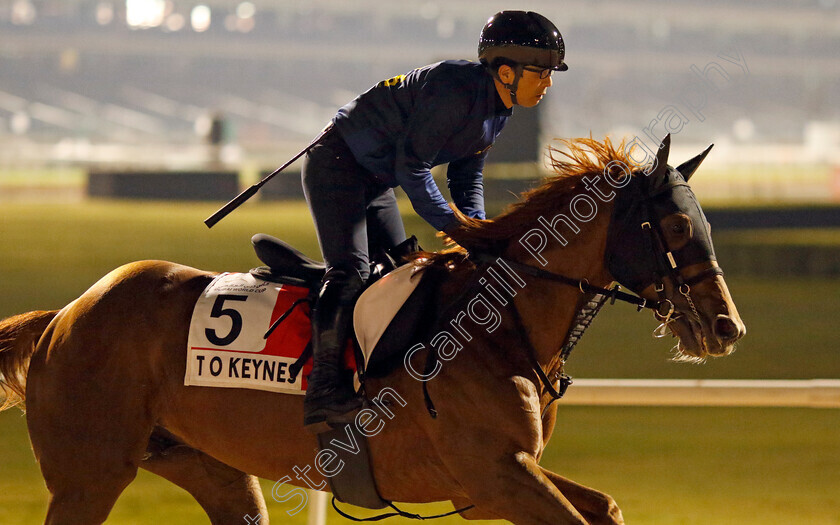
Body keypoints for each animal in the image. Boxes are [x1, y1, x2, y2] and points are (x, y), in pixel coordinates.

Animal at [3, 136, 744, 524]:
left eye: (705, 221)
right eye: (674, 226)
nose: (726, 325)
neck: (500, 327)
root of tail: (62, 316)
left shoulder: (493, 481)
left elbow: (608, 505)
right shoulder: (495, 475)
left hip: (210, 468)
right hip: (88, 476)